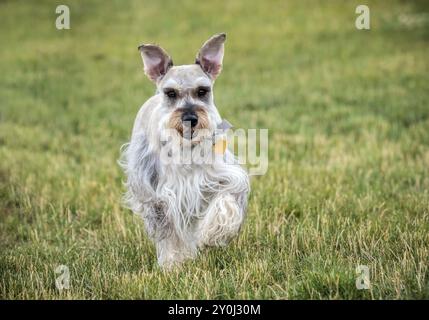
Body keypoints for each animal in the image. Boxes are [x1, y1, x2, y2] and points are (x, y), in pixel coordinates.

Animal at [118, 33, 249, 268]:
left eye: (202, 91)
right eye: (170, 93)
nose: (190, 118)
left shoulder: (225, 177)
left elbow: (227, 202)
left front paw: (212, 234)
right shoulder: (161, 198)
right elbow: (170, 234)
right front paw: (173, 264)